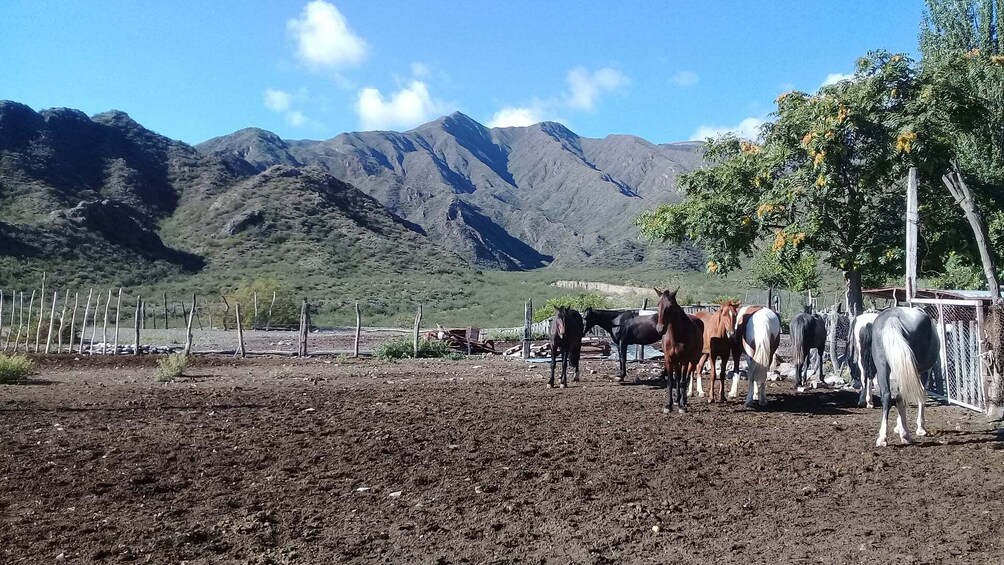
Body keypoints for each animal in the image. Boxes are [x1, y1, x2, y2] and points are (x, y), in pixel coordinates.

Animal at [859, 307, 935, 449]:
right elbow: (922, 396)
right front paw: (920, 428)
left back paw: (883, 438)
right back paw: (905, 435)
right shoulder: (924, 372)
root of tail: (892, 318)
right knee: (900, 396)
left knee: (887, 396)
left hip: (882, 365)